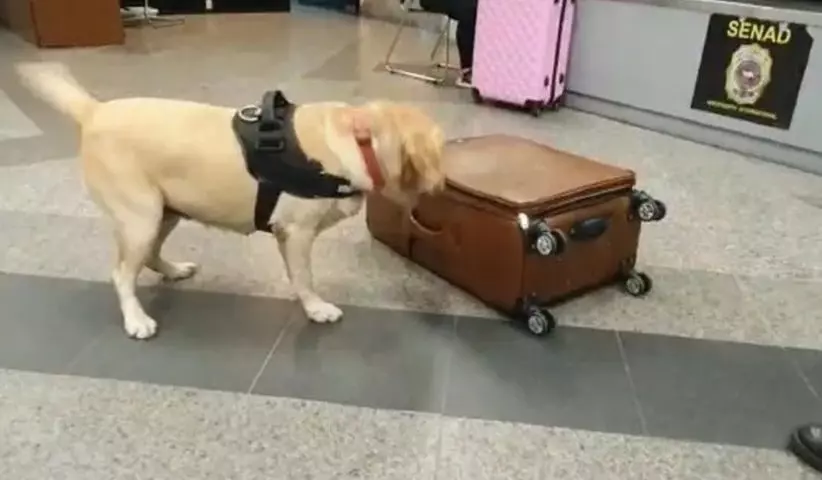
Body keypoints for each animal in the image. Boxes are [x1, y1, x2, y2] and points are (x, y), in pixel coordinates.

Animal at [16, 62, 445, 340]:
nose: (443, 185)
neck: (360, 140)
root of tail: (95, 111)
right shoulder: (296, 233)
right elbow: (303, 277)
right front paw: (315, 308)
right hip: (141, 216)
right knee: (122, 274)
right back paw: (136, 319)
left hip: (165, 212)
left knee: (151, 256)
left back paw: (173, 270)